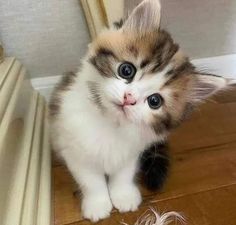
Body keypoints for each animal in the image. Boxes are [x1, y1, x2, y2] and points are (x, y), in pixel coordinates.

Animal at [49, 0, 234, 221]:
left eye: (155, 101)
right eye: (126, 70)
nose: (129, 99)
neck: (112, 124)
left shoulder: (133, 152)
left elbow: (123, 175)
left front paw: (123, 196)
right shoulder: (74, 149)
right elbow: (91, 181)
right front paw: (98, 204)